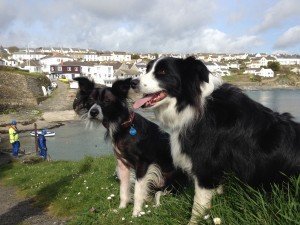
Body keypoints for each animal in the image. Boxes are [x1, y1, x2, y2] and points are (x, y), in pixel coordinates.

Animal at [73, 77, 188, 216]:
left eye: (107, 101)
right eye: (90, 100)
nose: (93, 112)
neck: (124, 127)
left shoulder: (143, 164)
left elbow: (138, 191)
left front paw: (136, 213)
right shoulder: (122, 165)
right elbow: (123, 189)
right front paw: (121, 208)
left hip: (171, 180)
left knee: (162, 192)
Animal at [133, 56, 300, 223]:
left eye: (162, 72)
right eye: (147, 69)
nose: (133, 82)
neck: (193, 105)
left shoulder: (206, 167)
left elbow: (198, 206)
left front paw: (194, 222)